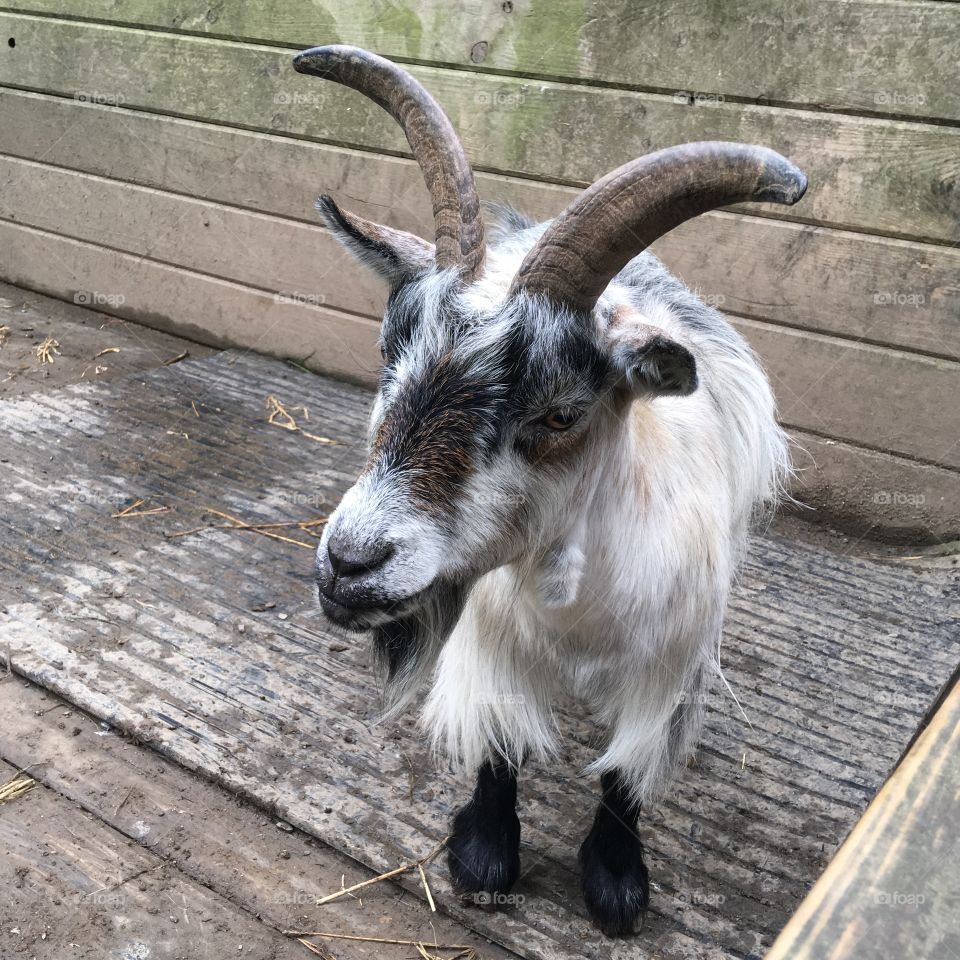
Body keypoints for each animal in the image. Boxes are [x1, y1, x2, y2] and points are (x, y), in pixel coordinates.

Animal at [294, 45, 806, 936]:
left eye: (562, 412)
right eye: (388, 358)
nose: (351, 563)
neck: (580, 612)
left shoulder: (667, 668)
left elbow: (625, 774)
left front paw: (616, 880)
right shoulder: (490, 639)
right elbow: (499, 748)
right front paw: (483, 850)